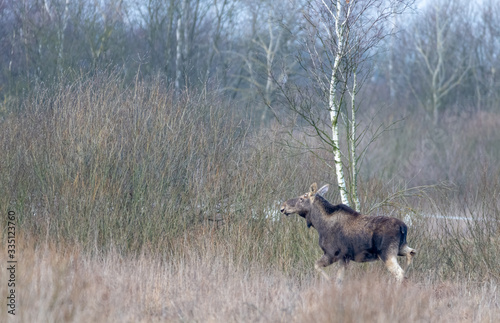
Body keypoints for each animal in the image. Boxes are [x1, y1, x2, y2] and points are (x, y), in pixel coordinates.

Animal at [280, 184, 416, 282]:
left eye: (302, 198)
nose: (283, 207)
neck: (319, 224)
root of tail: (403, 227)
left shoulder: (332, 254)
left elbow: (317, 266)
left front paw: (329, 281)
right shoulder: (344, 258)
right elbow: (339, 279)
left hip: (387, 253)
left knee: (400, 273)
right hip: (400, 248)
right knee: (411, 253)